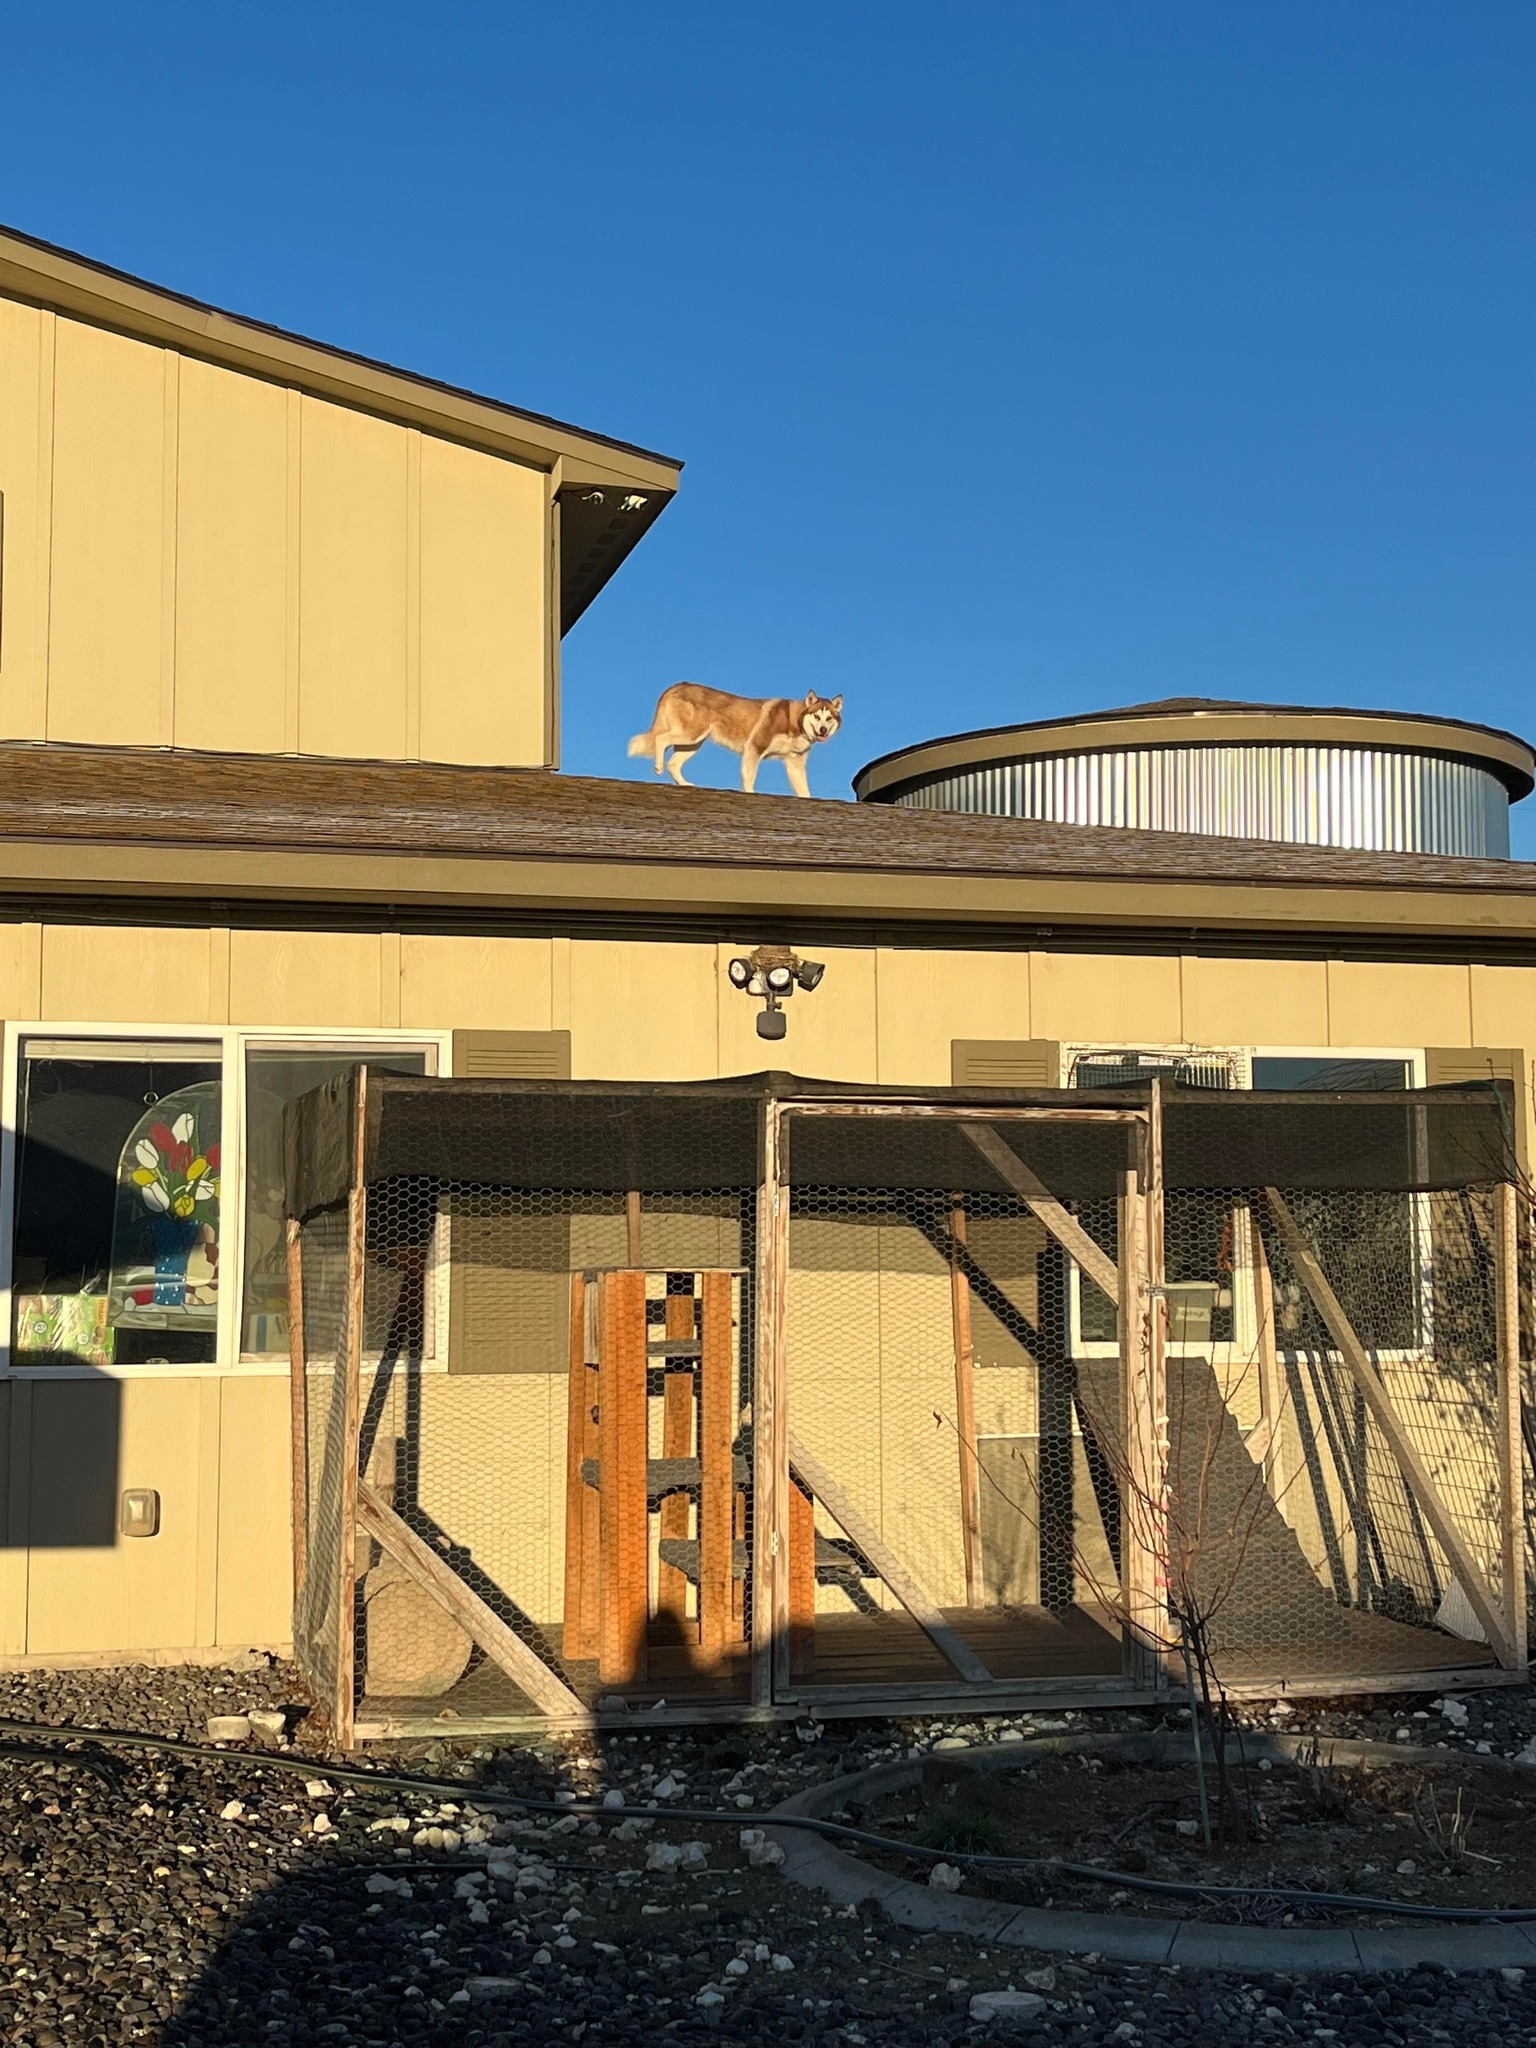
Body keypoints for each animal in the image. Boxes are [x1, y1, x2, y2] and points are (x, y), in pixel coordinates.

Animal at [626, 679, 847, 790]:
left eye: (829, 718)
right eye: (817, 716)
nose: (823, 730)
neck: (796, 721)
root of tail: (679, 684)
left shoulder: (794, 765)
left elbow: (804, 792)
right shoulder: (754, 748)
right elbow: (749, 780)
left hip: (694, 743)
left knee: (673, 763)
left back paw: (685, 784)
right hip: (691, 734)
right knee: (660, 739)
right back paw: (658, 766)